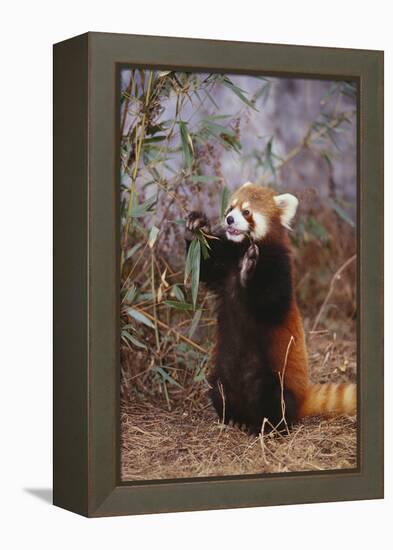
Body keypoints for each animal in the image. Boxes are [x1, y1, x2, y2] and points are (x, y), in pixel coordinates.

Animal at [185, 184, 354, 436]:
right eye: (230, 207)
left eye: (246, 212)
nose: (229, 219)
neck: (241, 249)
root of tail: (302, 399)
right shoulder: (223, 263)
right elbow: (204, 266)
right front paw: (196, 225)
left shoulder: (279, 267)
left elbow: (271, 304)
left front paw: (248, 270)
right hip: (222, 375)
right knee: (218, 390)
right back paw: (234, 418)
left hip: (275, 380)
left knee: (273, 399)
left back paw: (267, 427)